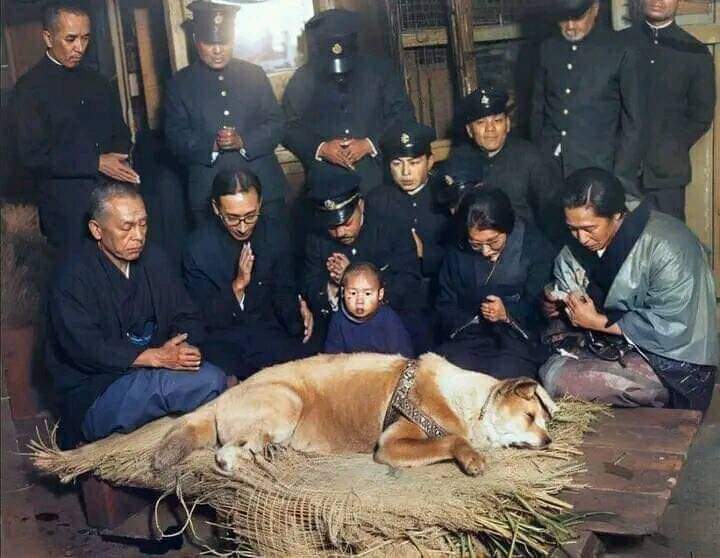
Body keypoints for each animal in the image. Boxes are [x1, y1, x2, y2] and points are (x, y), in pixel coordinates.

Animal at [152, 354, 556, 476]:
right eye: (529, 416)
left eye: (543, 419)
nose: (549, 441)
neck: (471, 403)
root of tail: (221, 398)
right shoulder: (392, 444)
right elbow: (452, 440)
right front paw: (471, 458)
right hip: (287, 402)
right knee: (224, 454)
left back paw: (271, 453)